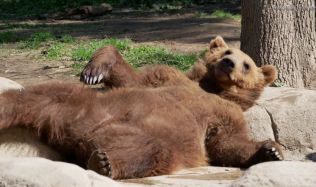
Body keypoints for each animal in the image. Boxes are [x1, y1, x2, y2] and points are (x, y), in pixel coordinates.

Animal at [80, 35, 276, 110]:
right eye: (228, 51)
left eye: (247, 65)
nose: (229, 63)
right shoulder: (162, 76)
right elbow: (132, 79)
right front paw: (93, 72)